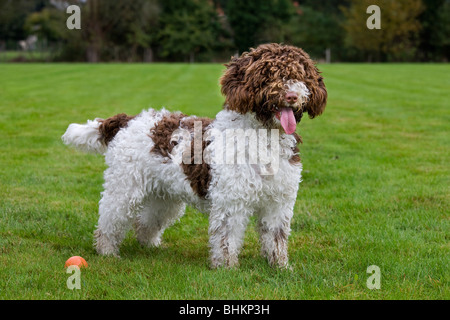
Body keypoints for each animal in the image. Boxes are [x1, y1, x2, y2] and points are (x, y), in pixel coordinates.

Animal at [61, 42, 326, 268]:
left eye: (300, 76)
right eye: (269, 75)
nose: (292, 96)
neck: (264, 137)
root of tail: (129, 119)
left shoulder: (278, 202)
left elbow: (276, 237)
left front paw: (280, 267)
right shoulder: (231, 201)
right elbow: (227, 238)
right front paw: (227, 269)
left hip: (164, 196)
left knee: (145, 223)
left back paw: (151, 246)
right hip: (124, 188)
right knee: (110, 220)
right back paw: (107, 251)